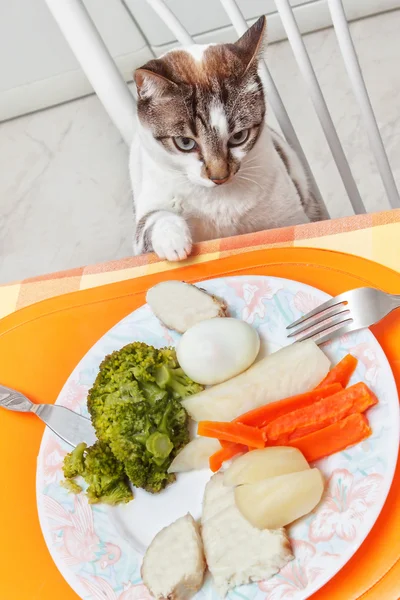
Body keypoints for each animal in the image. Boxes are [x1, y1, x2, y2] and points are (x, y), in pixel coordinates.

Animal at [130, 14, 326, 260]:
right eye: (185, 143)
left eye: (238, 136)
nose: (219, 176)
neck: (219, 200)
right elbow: (152, 220)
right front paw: (173, 240)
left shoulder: (289, 213)